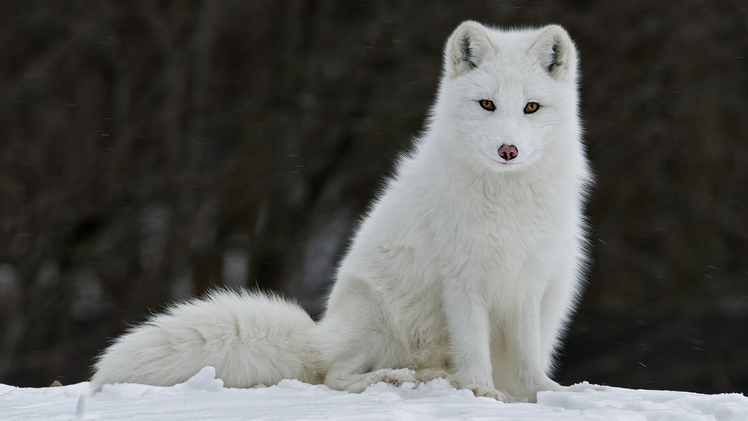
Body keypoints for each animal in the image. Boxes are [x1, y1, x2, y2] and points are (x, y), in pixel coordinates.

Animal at [92, 21, 592, 402]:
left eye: (531, 107)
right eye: (487, 104)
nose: (508, 150)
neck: (507, 200)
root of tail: (321, 334)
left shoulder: (527, 281)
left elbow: (527, 357)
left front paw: (544, 394)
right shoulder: (463, 281)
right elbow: (474, 348)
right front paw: (482, 393)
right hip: (375, 314)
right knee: (335, 376)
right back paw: (404, 378)